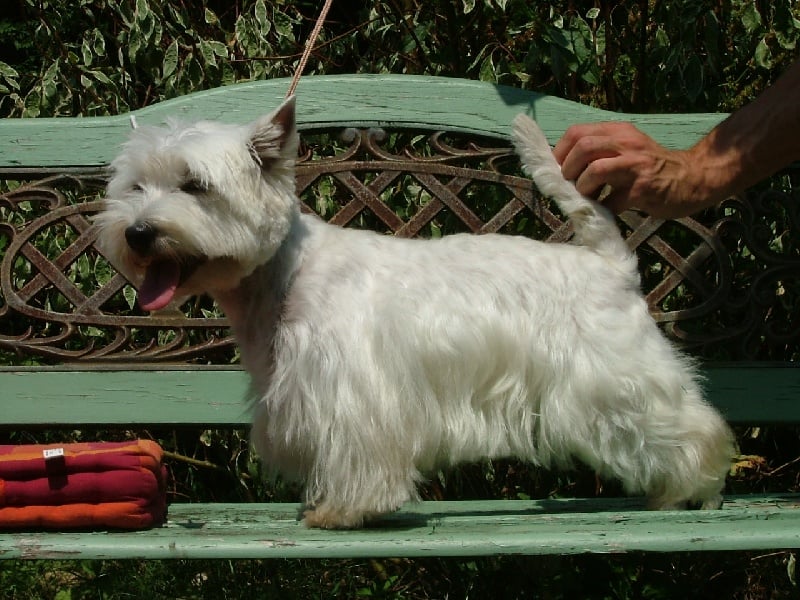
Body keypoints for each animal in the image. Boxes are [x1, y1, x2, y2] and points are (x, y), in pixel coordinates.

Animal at [95, 96, 736, 528]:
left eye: (195, 185)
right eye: (134, 187)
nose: (139, 233)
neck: (283, 273)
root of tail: (610, 263)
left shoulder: (353, 393)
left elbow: (358, 453)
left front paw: (338, 511)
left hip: (614, 374)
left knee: (692, 424)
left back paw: (690, 489)